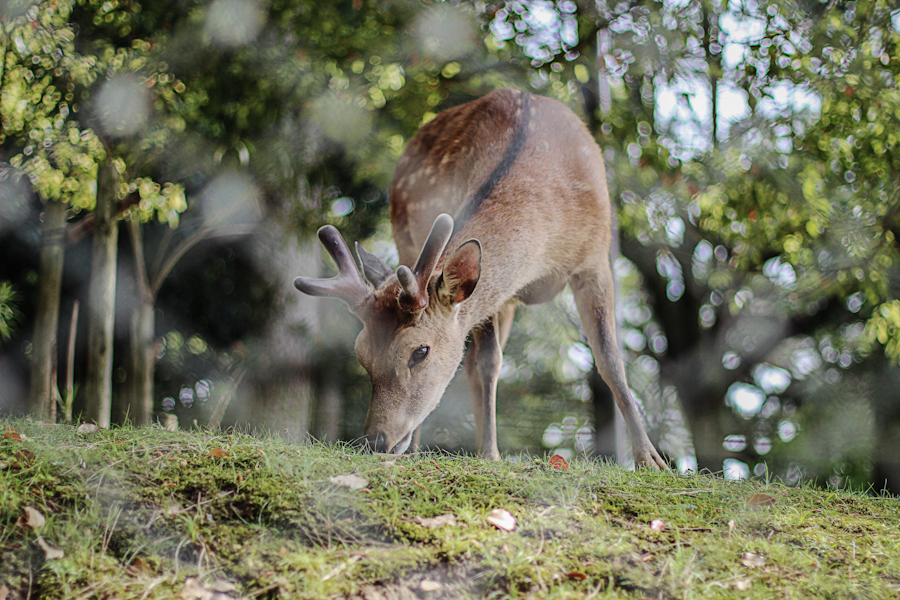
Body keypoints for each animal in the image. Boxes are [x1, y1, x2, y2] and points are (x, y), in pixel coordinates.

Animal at [296, 86, 668, 468]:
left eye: (420, 351)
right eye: (361, 353)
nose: (375, 440)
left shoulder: (595, 260)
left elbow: (611, 361)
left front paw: (651, 460)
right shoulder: (487, 296)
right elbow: (488, 364)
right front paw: (490, 453)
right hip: (407, 243)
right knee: (476, 362)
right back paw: (416, 450)